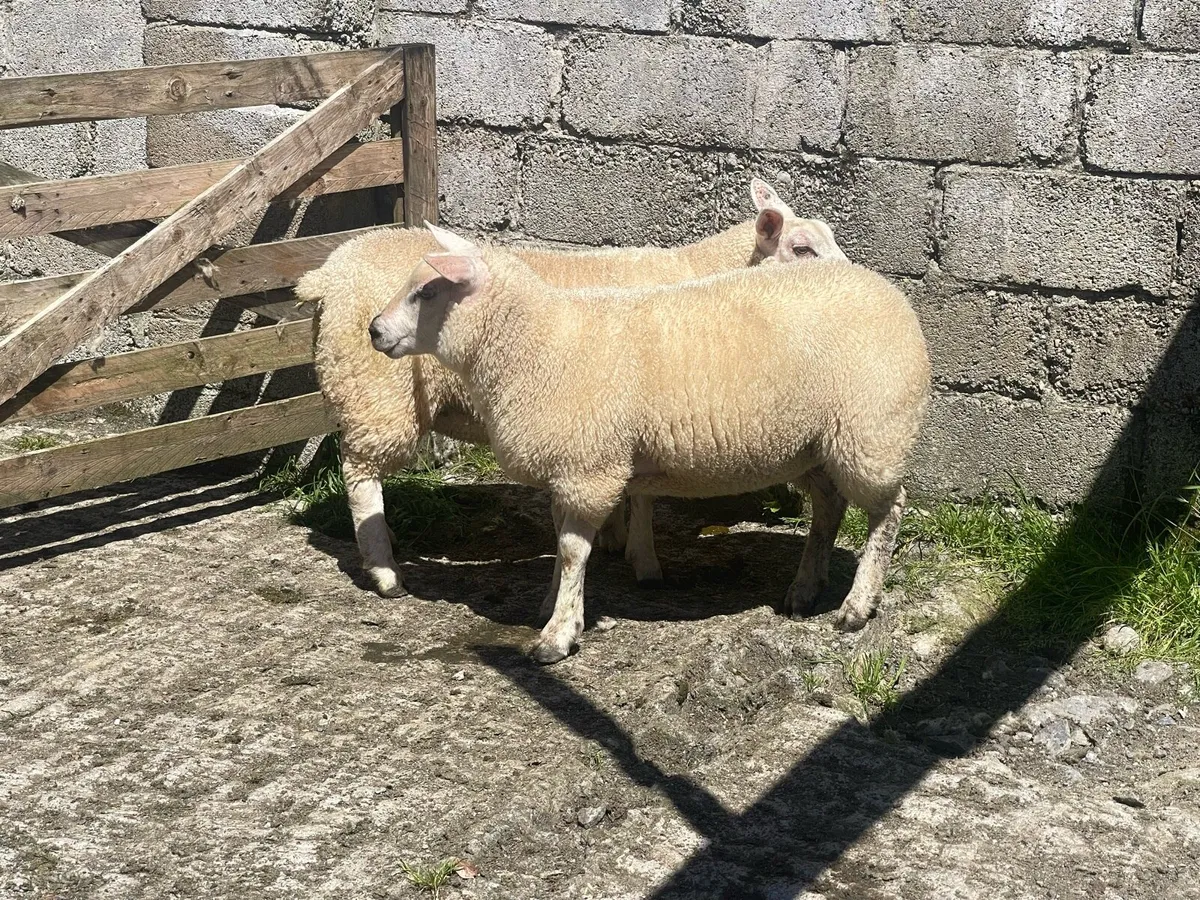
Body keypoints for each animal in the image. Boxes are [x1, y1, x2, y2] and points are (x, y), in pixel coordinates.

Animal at [297, 179, 845, 599]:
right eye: (801, 248)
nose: (853, 277)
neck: (701, 272)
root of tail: (328, 272)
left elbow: (627, 491)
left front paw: (614, 538)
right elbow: (643, 498)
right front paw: (643, 559)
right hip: (375, 392)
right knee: (360, 476)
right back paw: (386, 571)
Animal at [368, 225, 930, 663]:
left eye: (426, 293)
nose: (373, 330)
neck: (536, 343)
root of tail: (888, 290)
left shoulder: (588, 467)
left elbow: (572, 551)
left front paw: (557, 635)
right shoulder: (568, 468)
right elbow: (562, 548)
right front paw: (554, 606)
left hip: (871, 432)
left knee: (888, 511)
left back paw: (856, 607)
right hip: (816, 443)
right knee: (829, 508)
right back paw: (805, 590)